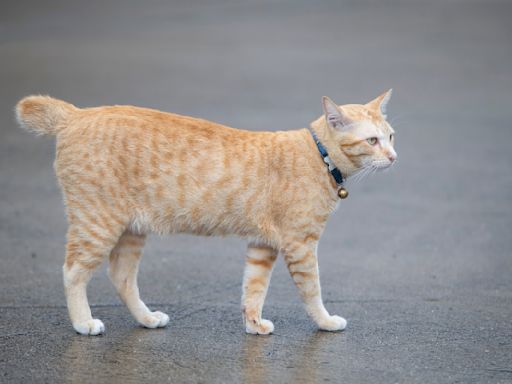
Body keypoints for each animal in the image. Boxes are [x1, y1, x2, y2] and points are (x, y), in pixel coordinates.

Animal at [13, 91, 396, 336]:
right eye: (372, 140)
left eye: (391, 136)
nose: (394, 157)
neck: (319, 156)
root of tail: (78, 113)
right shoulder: (300, 245)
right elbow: (312, 290)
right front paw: (325, 322)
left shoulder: (262, 245)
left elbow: (253, 289)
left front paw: (253, 325)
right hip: (97, 223)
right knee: (73, 271)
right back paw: (83, 323)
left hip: (131, 230)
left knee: (121, 276)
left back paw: (147, 319)